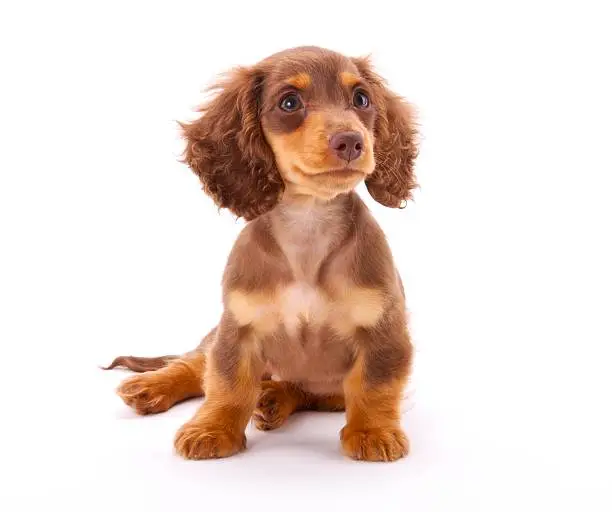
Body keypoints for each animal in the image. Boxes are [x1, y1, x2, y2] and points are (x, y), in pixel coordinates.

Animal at [106, 46, 420, 462]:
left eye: (361, 99)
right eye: (289, 102)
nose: (352, 142)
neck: (307, 227)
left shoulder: (384, 330)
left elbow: (374, 384)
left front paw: (373, 431)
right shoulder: (237, 327)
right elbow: (226, 383)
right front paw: (212, 428)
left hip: (328, 393)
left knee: (302, 389)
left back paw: (273, 397)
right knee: (193, 363)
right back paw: (152, 386)